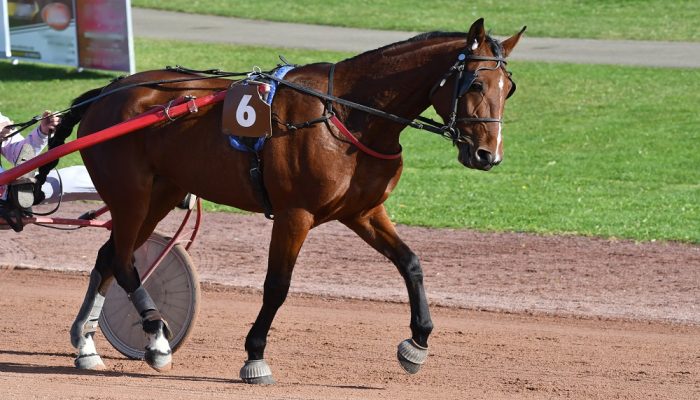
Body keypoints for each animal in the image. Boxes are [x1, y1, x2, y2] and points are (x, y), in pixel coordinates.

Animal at [60, 18, 524, 382]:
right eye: (476, 82)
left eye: (510, 88)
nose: (488, 155)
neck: (347, 115)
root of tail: (107, 92)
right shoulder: (294, 215)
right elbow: (277, 286)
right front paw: (255, 356)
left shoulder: (362, 211)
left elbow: (411, 263)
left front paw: (417, 343)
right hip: (132, 195)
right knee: (123, 261)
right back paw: (156, 341)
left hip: (161, 193)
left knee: (108, 257)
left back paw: (87, 346)